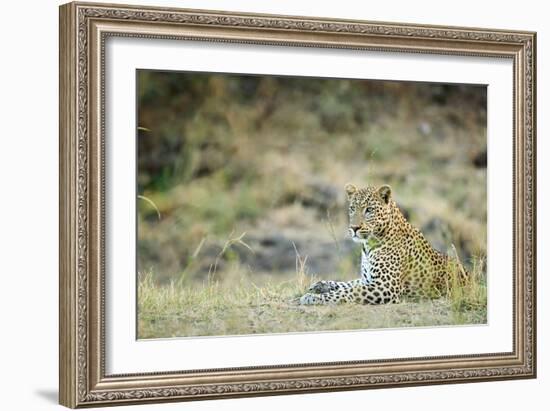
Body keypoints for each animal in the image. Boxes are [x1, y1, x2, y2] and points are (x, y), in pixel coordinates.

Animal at [300, 184, 468, 306]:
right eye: (352, 208)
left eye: (369, 210)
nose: (354, 228)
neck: (368, 246)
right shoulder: (368, 281)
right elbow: (347, 284)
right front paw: (319, 285)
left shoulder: (385, 287)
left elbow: (348, 292)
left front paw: (311, 297)